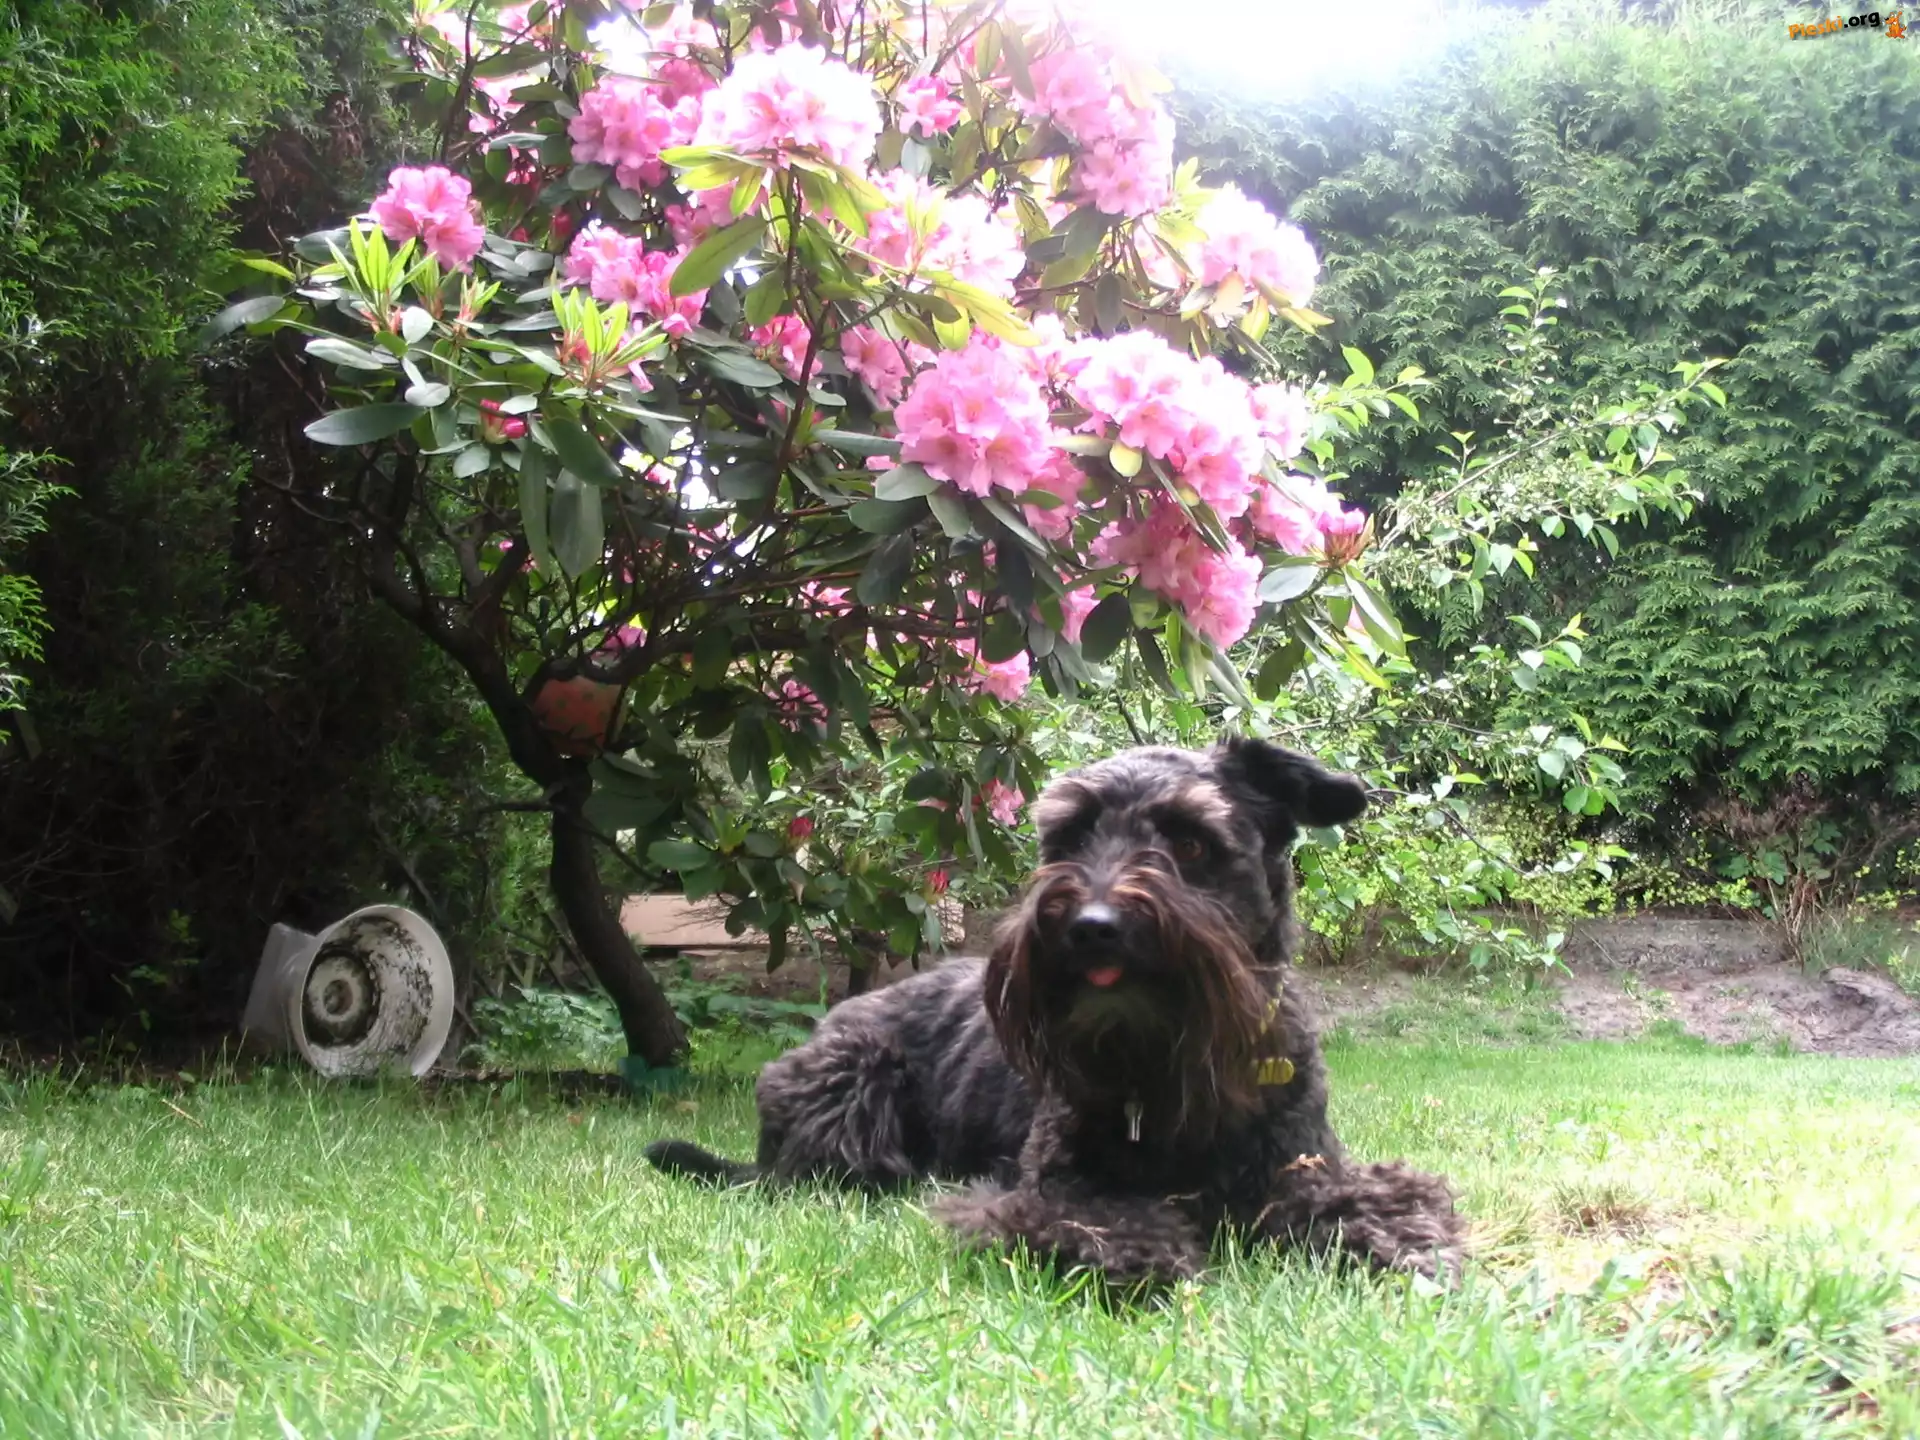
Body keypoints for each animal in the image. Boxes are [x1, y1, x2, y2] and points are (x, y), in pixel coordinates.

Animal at [645, 738, 1465, 1285]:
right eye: (1068, 837)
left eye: (1192, 842)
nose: (1092, 926)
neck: (1168, 1066)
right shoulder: (1045, 1190)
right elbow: (1099, 1216)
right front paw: (1146, 1252)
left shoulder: (1306, 1168)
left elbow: (1371, 1204)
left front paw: (1402, 1249)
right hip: (853, 1080)